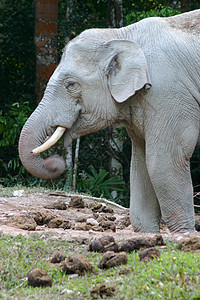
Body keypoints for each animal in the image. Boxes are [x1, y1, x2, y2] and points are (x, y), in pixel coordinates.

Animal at [18, 9, 199, 233]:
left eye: (71, 84)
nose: (55, 163)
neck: (121, 35)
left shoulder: (168, 94)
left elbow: (164, 161)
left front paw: (186, 235)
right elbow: (140, 165)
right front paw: (149, 235)